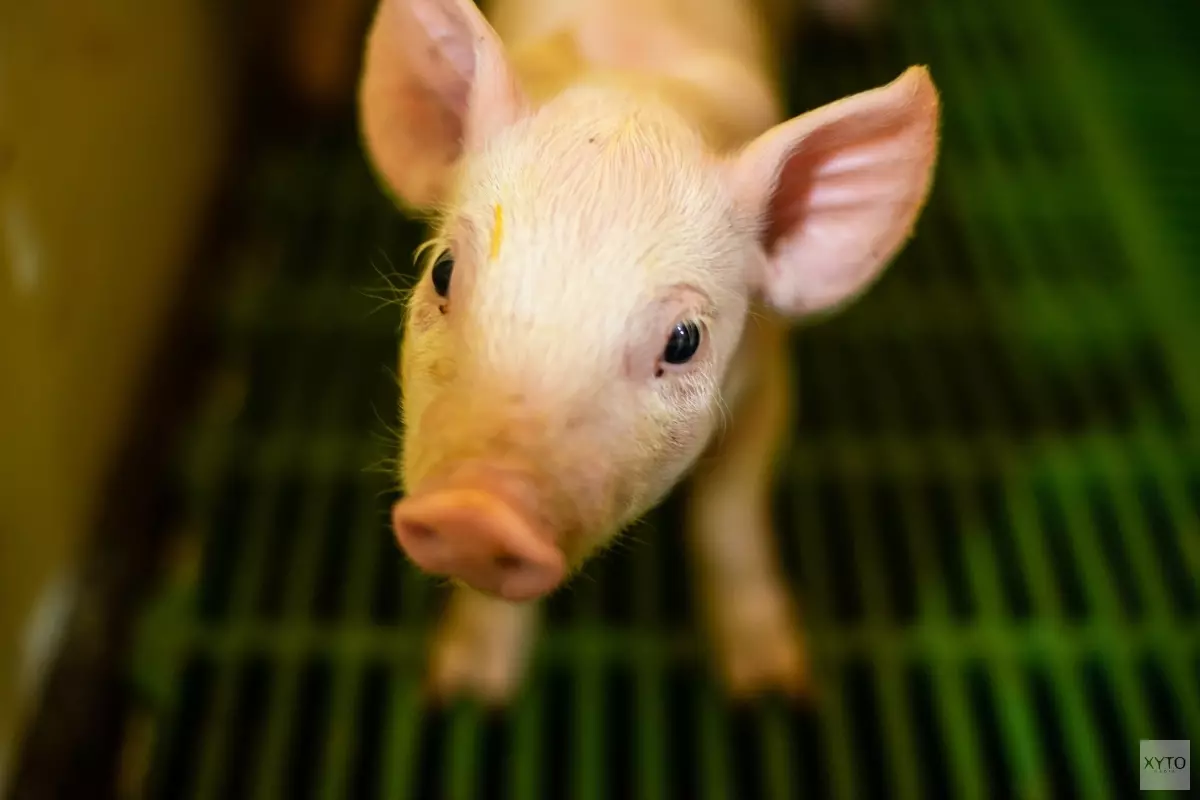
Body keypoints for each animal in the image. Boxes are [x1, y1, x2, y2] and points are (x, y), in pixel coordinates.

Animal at [357, 0, 940, 702]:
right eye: (443, 271)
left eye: (684, 340)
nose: (475, 510)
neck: (635, 85)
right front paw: (465, 692)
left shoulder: (769, 380)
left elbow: (727, 514)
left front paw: (773, 690)